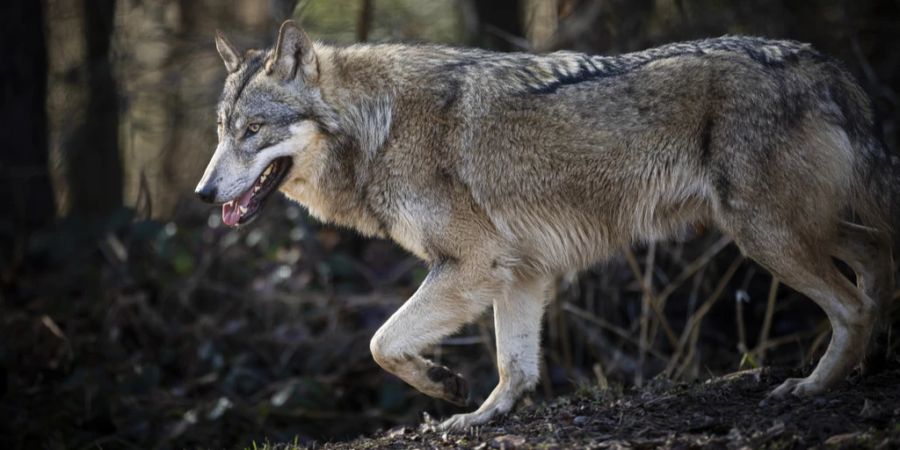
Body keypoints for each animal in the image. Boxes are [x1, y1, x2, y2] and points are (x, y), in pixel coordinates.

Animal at [193, 20, 896, 428]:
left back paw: (812, 387)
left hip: (766, 234)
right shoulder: (520, 272)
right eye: (222, 131)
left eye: (253, 131)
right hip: (798, 229)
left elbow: (381, 343)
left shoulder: (471, 266)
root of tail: (821, 62)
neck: (379, 127)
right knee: (876, 262)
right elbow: (516, 365)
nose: (202, 193)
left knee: (853, 303)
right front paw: (482, 415)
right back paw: (869, 362)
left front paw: (445, 385)